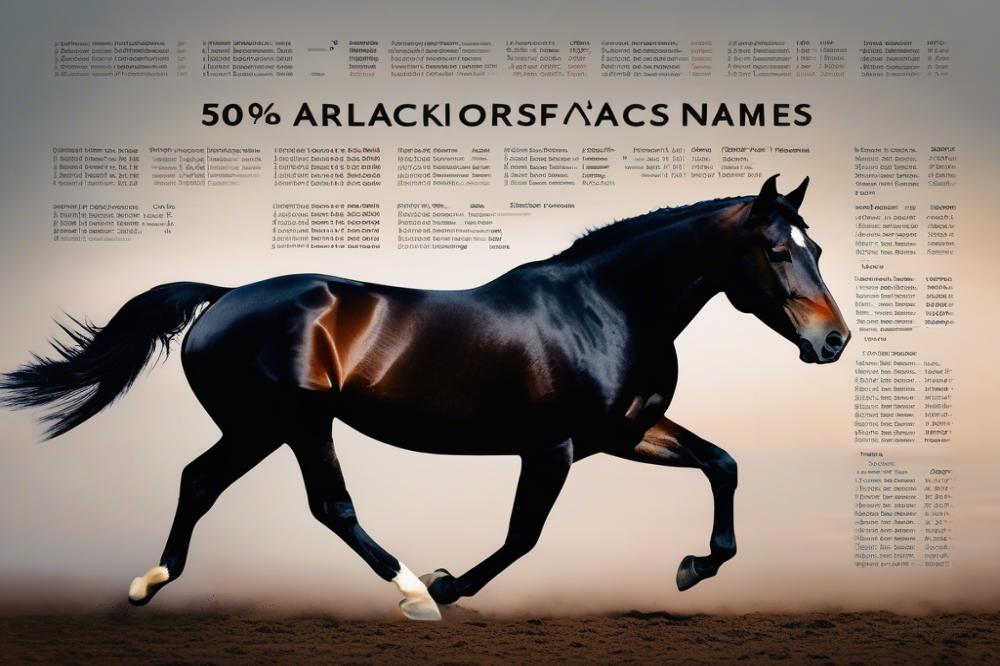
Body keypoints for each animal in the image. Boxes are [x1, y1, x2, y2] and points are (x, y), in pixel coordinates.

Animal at [1, 174, 849, 621]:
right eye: (777, 250)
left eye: (815, 246)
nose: (834, 341)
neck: (605, 306)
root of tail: (223, 295)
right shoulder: (554, 447)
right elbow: (523, 537)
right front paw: (446, 584)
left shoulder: (625, 432)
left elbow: (723, 463)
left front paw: (693, 568)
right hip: (295, 421)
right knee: (329, 506)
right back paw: (410, 589)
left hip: (258, 427)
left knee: (199, 480)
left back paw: (149, 583)